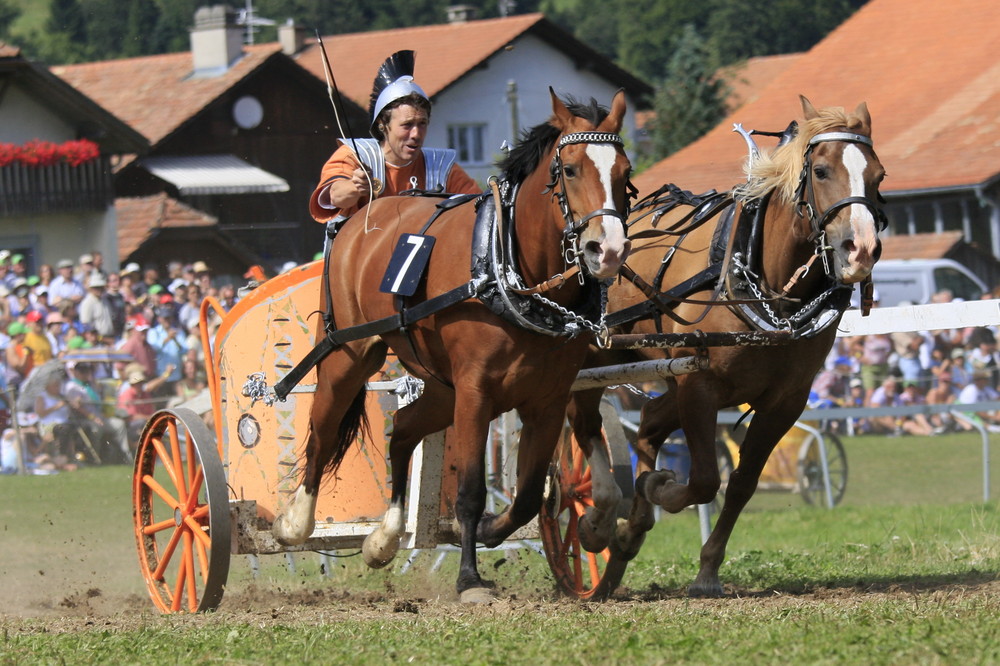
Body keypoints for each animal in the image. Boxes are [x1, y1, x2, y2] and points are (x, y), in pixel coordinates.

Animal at [272, 89, 632, 600]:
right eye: (570, 169)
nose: (610, 250)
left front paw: (490, 530)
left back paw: (384, 538)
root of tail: (362, 217)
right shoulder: (476, 394)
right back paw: (296, 523)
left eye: (625, 173)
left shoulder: (546, 400)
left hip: (441, 389)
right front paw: (469, 578)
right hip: (347, 358)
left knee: (403, 430)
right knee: (322, 433)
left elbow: (527, 496)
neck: (508, 270)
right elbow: (469, 493)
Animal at [572, 94, 884, 596]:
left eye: (879, 176)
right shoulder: (699, 386)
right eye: (820, 171)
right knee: (581, 425)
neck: (765, 289)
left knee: (650, 422)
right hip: (599, 359)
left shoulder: (785, 400)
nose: (861, 249)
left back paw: (629, 529)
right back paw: (597, 519)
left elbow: (741, 483)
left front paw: (707, 568)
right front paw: (658, 490)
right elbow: (703, 480)